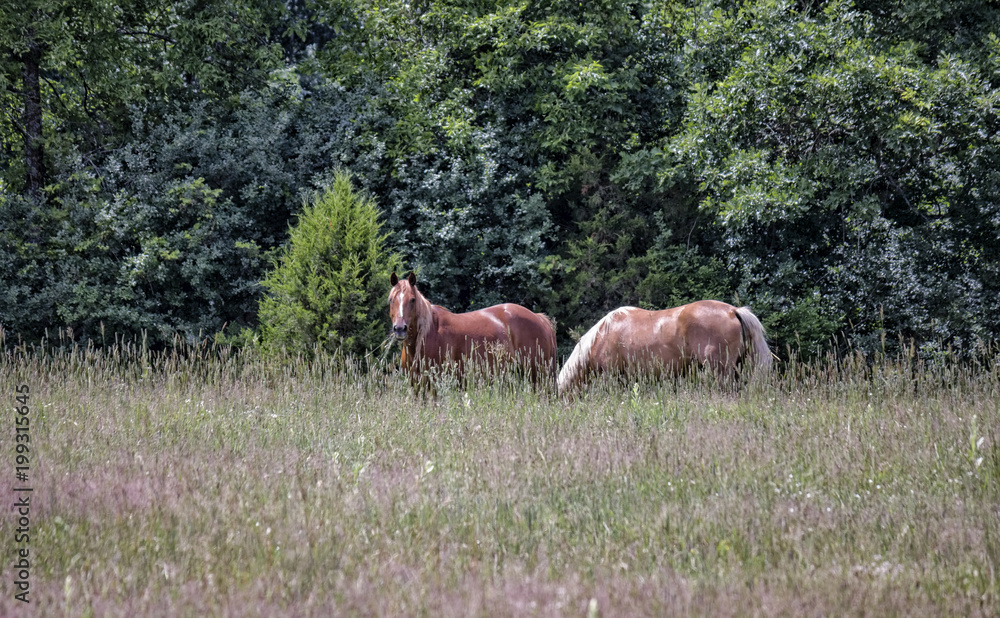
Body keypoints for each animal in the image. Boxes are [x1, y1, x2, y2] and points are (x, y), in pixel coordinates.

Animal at [388, 270, 560, 390]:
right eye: (391, 300)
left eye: (412, 300)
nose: (400, 329)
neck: (428, 334)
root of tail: (540, 319)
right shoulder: (416, 386)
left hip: (538, 377)